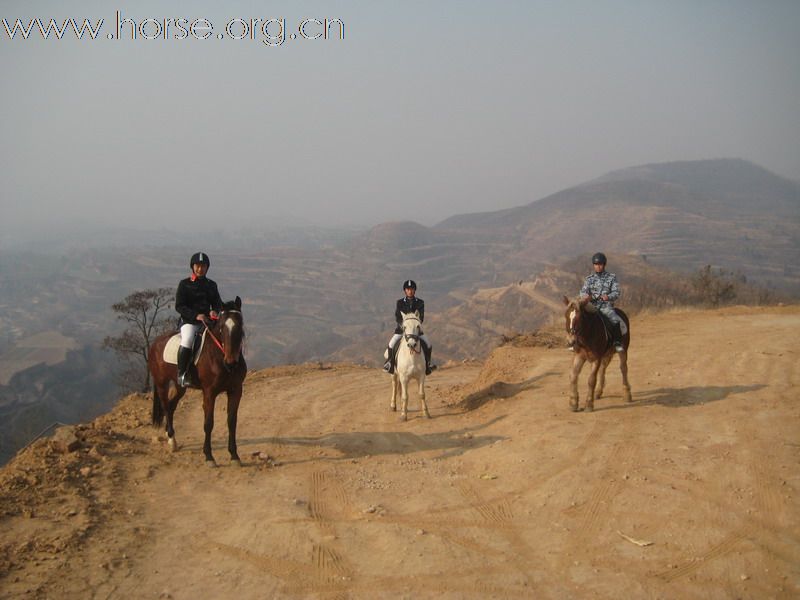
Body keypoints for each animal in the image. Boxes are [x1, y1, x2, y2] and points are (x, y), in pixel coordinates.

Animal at [147, 298, 247, 466]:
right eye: (221, 328)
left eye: (240, 325)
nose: (231, 363)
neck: (218, 355)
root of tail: (155, 343)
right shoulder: (209, 393)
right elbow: (208, 423)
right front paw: (209, 456)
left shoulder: (235, 390)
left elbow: (232, 422)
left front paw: (234, 455)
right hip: (161, 384)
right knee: (166, 407)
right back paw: (172, 441)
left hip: (180, 386)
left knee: (172, 406)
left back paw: (169, 436)